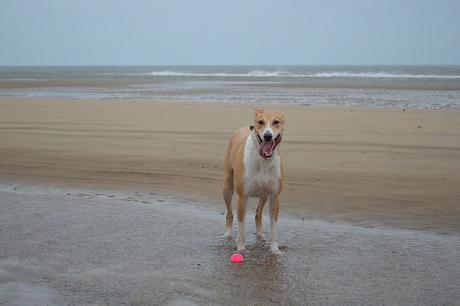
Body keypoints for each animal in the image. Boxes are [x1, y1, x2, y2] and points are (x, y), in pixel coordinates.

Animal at [223, 109, 284, 255]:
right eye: (260, 122)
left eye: (276, 122)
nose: (267, 136)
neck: (263, 160)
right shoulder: (242, 197)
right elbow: (241, 226)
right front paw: (241, 248)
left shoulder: (274, 197)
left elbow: (274, 228)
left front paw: (275, 250)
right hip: (227, 186)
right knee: (229, 213)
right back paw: (227, 234)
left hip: (264, 194)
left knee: (258, 214)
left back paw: (260, 236)